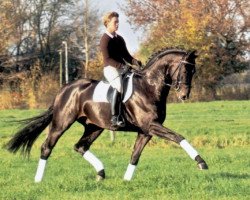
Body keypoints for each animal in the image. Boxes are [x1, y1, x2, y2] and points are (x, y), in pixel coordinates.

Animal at [6, 47, 209, 182]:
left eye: (193, 71)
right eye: (185, 70)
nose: (184, 95)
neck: (149, 87)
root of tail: (64, 89)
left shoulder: (146, 131)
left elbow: (135, 155)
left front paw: (126, 181)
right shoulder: (151, 125)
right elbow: (178, 137)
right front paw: (201, 163)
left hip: (94, 126)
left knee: (80, 146)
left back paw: (101, 174)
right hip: (62, 122)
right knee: (47, 147)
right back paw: (38, 180)